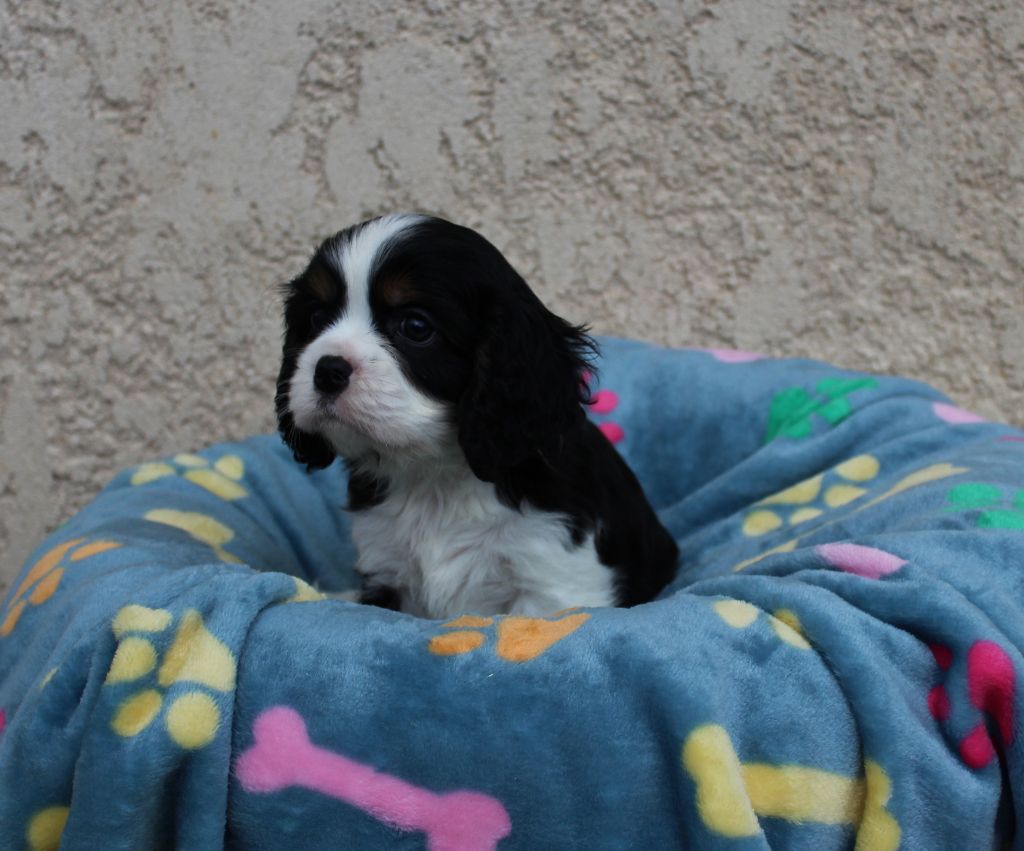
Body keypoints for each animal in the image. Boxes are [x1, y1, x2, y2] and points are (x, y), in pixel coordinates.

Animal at [278, 215, 679, 618]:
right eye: (316, 318)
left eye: (415, 327)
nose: (327, 370)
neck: (434, 478)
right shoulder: (386, 568)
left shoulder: (552, 582)